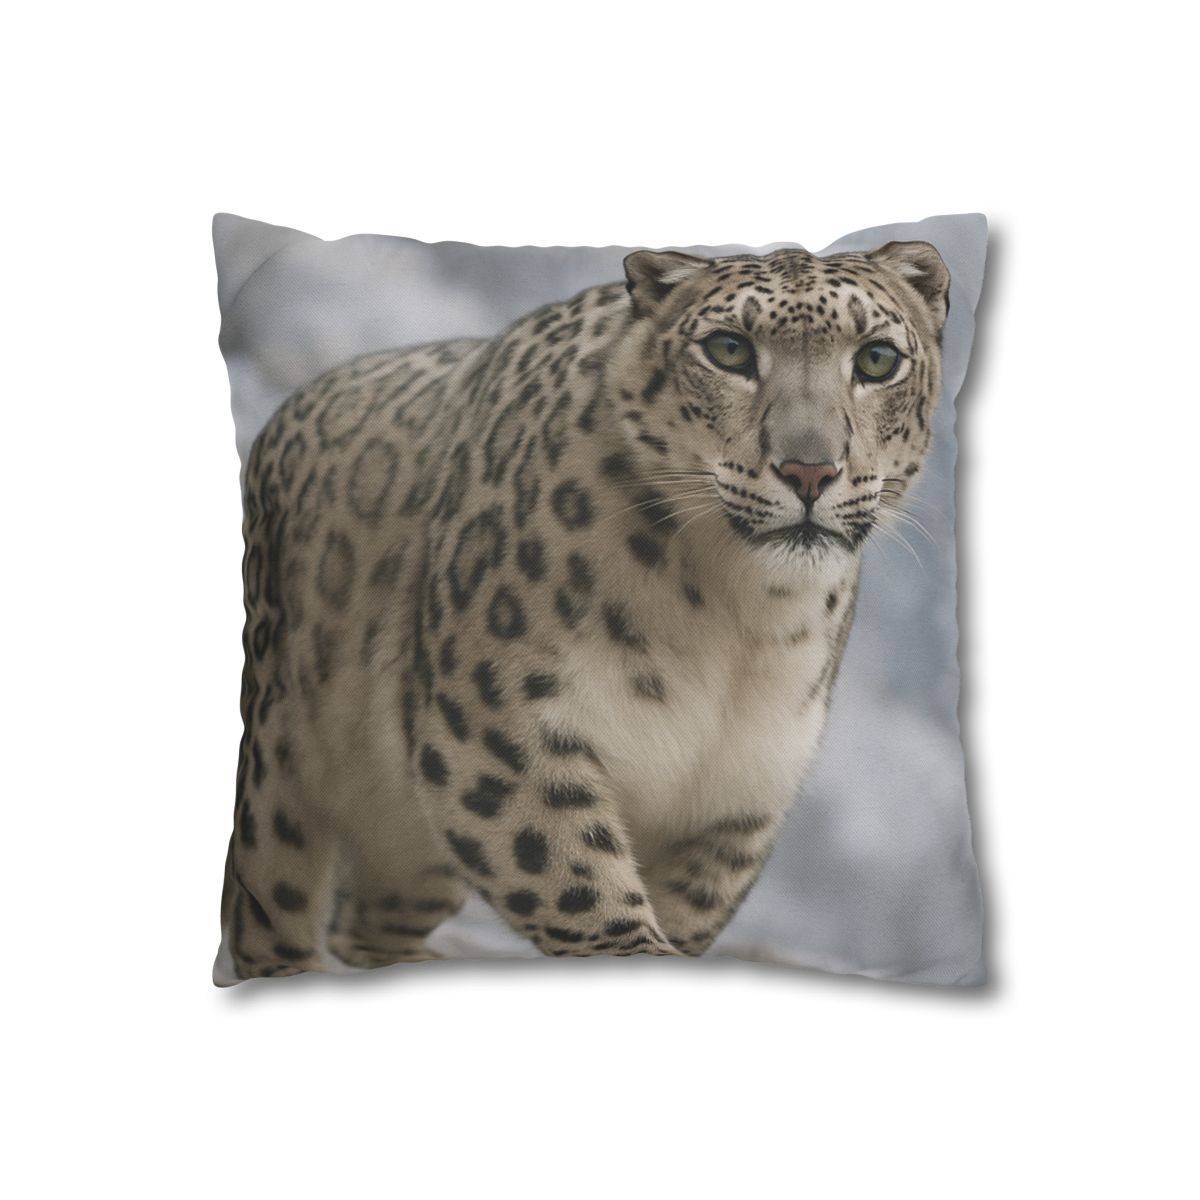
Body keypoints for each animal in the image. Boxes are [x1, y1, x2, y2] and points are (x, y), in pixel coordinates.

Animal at [215, 239, 950, 982]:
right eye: (729, 350)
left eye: (877, 359)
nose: (810, 470)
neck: (738, 618)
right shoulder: (498, 723)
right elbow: (576, 877)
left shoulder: (740, 789)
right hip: (277, 774)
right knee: (269, 910)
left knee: (370, 922)